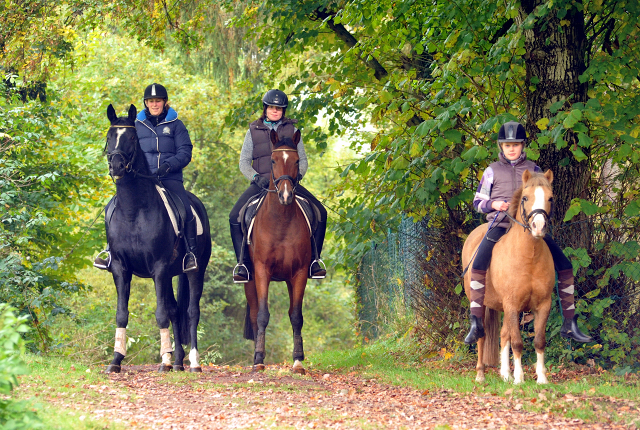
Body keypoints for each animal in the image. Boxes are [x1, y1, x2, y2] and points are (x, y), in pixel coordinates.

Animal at [102, 104, 211, 372]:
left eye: (132, 137)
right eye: (110, 136)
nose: (116, 166)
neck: (133, 210)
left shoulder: (159, 268)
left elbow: (161, 314)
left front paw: (165, 360)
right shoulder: (120, 268)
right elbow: (122, 314)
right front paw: (116, 360)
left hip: (195, 270)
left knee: (191, 311)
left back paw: (192, 362)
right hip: (172, 274)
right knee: (175, 311)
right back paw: (179, 361)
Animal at [242, 127, 310, 372]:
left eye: (297, 161)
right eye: (273, 160)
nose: (286, 196)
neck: (281, 221)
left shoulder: (299, 272)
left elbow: (296, 316)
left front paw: (298, 360)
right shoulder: (262, 271)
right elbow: (262, 315)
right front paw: (259, 360)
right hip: (249, 280)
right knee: (254, 315)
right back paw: (255, 356)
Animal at [462, 170, 556, 384]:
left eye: (550, 198)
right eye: (525, 198)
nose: (538, 226)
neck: (529, 257)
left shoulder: (542, 305)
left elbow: (539, 341)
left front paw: (541, 378)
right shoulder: (512, 304)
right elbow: (518, 343)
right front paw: (519, 379)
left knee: (504, 334)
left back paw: (505, 373)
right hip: (480, 303)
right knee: (482, 335)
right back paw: (480, 374)